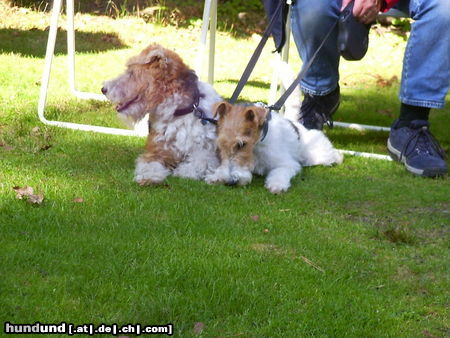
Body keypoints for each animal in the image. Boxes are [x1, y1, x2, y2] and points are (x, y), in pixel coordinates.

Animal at [102, 44, 221, 186]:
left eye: (131, 73)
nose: (103, 89)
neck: (178, 113)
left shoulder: (206, 153)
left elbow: (198, 164)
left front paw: (182, 172)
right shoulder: (155, 151)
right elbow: (149, 165)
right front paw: (148, 178)